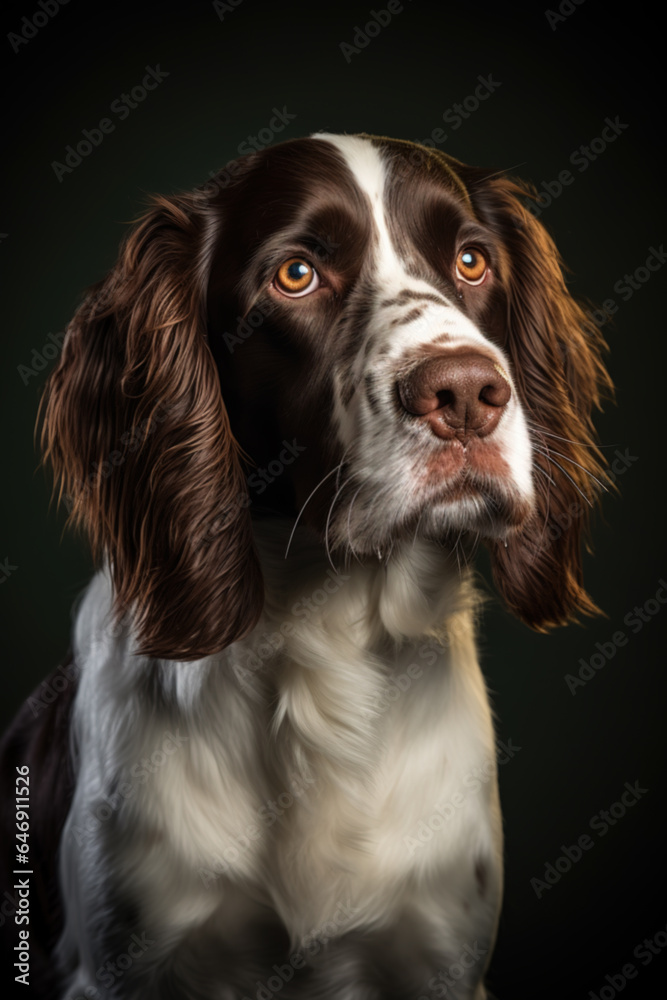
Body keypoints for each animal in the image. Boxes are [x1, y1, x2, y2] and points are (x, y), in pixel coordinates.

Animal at [0, 135, 612, 1000]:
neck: (330, 632)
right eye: (295, 274)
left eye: (470, 260)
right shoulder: (125, 966)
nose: (465, 392)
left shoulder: (439, 959)